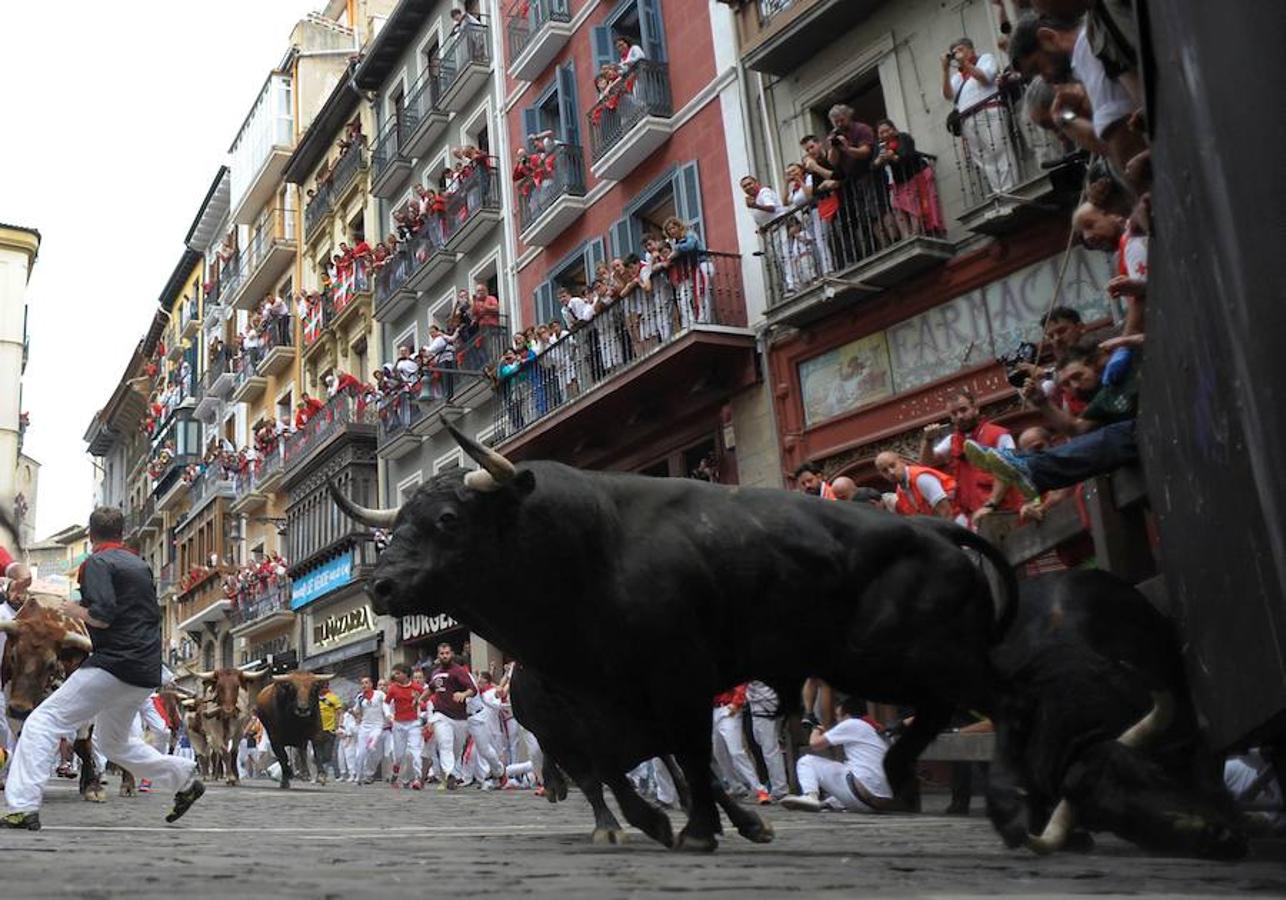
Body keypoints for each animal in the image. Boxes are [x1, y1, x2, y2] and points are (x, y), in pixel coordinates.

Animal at [331, 421, 1013, 848]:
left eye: (447, 519)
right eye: (398, 526)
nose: (381, 587)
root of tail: (936, 531)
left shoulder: (671, 683)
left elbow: (682, 761)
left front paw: (697, 826)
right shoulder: (598, 717)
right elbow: (629, 771)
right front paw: (667, 824)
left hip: (894, 655)